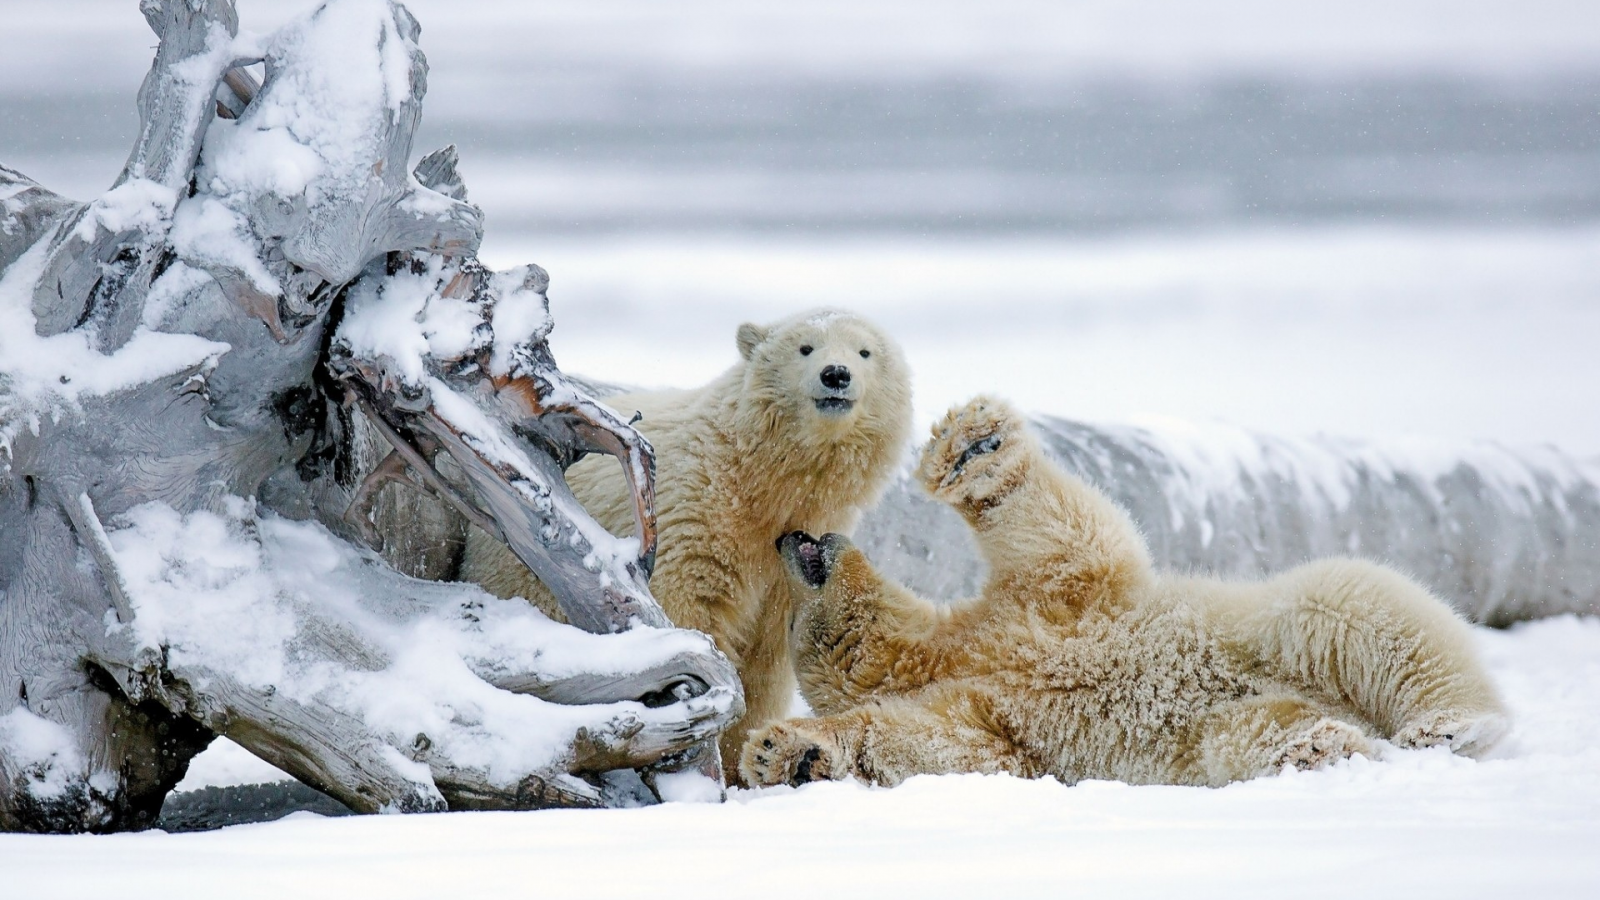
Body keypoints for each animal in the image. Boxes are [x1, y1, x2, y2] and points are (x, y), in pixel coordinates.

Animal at [464, 305, 915, 762]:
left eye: (864, 352)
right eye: (805, 347)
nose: (836, 373)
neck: (756, 480)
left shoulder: (787, 565)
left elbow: (767, 660)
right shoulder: (693, 512)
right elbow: (690, 611)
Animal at [742, 395, 1504, 781]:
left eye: (790, 612)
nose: (792, 536)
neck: (941, 653)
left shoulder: (1041, 607)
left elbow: (1067, 539)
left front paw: (972, 447)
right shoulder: (983, 708)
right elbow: (959, 750)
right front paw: (790, 752)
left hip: (1272, 630)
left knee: (1351, 606)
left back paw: (1449, 723)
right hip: (1210, 736)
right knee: (1247, 735)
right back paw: (1322, 747)